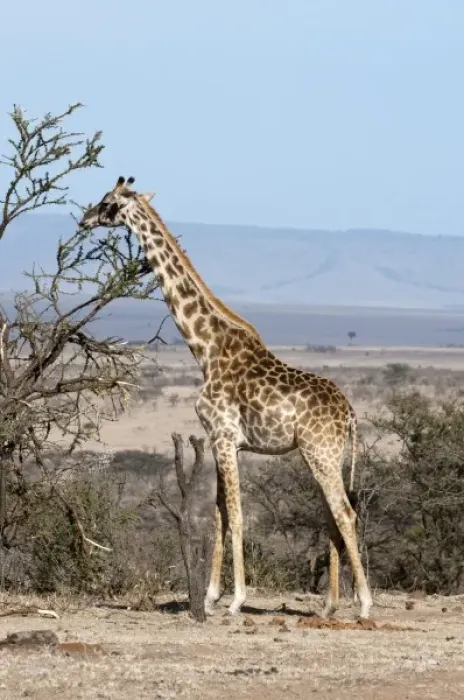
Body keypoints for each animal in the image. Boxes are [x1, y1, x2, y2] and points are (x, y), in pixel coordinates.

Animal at [79, 176, 373, 620]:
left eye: (108, 202)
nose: (84, 219)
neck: (206, 348)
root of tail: (351, 414)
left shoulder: (222, 436)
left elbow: (234, 515)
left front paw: (235, 599)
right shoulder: (224, 441)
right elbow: (217, 514)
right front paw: (211, 595)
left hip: (320, 451)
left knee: (345, 513)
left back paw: (365, 604)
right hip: (325, 454)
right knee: (332, 514)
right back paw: (329, 605)